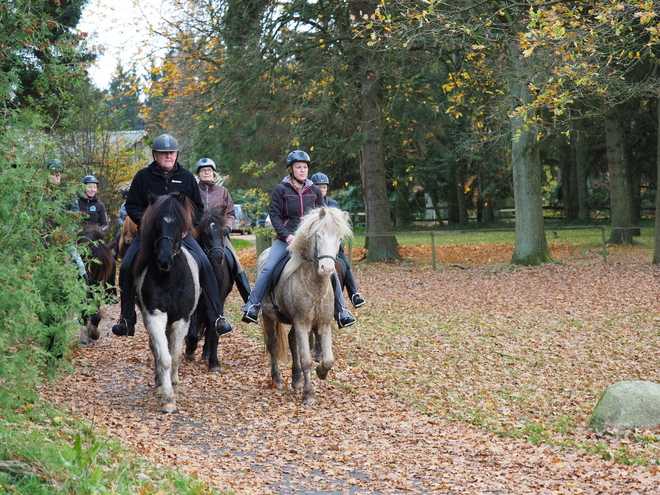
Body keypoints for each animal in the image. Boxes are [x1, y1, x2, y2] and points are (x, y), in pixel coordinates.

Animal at [131, 191, 199, 414]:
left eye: (178, 224)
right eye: (156, 223)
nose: (164, 260)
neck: (169, 278)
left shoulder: (181, 319)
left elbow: (175, 356)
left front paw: (174, 387)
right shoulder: (154, 316)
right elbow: (164, 357)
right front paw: (167, 398)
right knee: (156, 348)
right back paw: (160, 384)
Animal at [186, 205, 235, 372]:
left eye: (223, 232)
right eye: (204, 233)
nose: (218, 257)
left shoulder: (218, 301)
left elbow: (213, 332)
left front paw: (214, 363)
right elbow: (192, 330)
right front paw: (190, 349)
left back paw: (206, 354)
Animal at [258, 207, 354, 404]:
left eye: (340, 238)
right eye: (318, 235)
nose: (327, 269)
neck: (314, 284)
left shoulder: (323, 323)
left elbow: (328, 359)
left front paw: (321, 373)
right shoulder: (302, 323)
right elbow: (306, 360)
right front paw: (308, 394)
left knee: (291, 340)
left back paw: (296, 379)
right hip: (268, 315)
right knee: (272, 344)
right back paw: (277, 379)